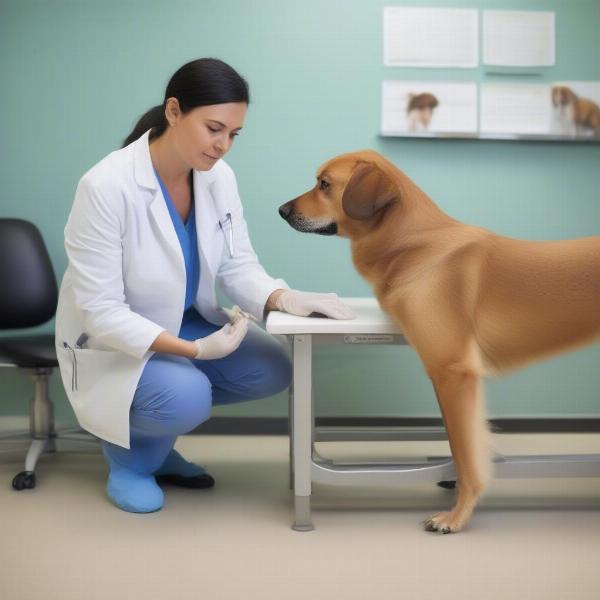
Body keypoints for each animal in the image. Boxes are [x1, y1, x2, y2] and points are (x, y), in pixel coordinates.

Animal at [280, 151, 600, 536]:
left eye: (325, 184)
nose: (281, 210)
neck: (411, 241)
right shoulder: (444, 379)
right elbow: (459, 448)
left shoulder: (453, 373)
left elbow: (466, 457)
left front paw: (456, 517)